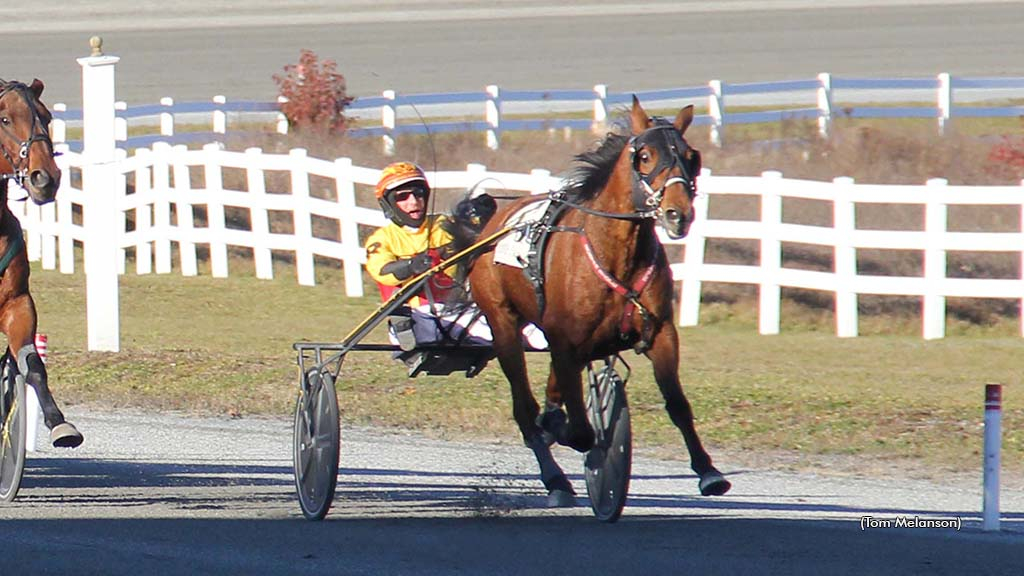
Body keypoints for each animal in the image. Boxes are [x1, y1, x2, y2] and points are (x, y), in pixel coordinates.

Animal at [448, 97, 729, 502]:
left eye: (692, 156)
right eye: (645, 156)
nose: (679, 214)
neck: (616, 253)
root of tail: (493, 223)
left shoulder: (659, 333)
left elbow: (677, 403)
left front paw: (708, 471)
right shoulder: (565, 340)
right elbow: (579, 430)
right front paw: (575, 437)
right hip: (503, 326)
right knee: (525, 408)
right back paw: (555, 477)